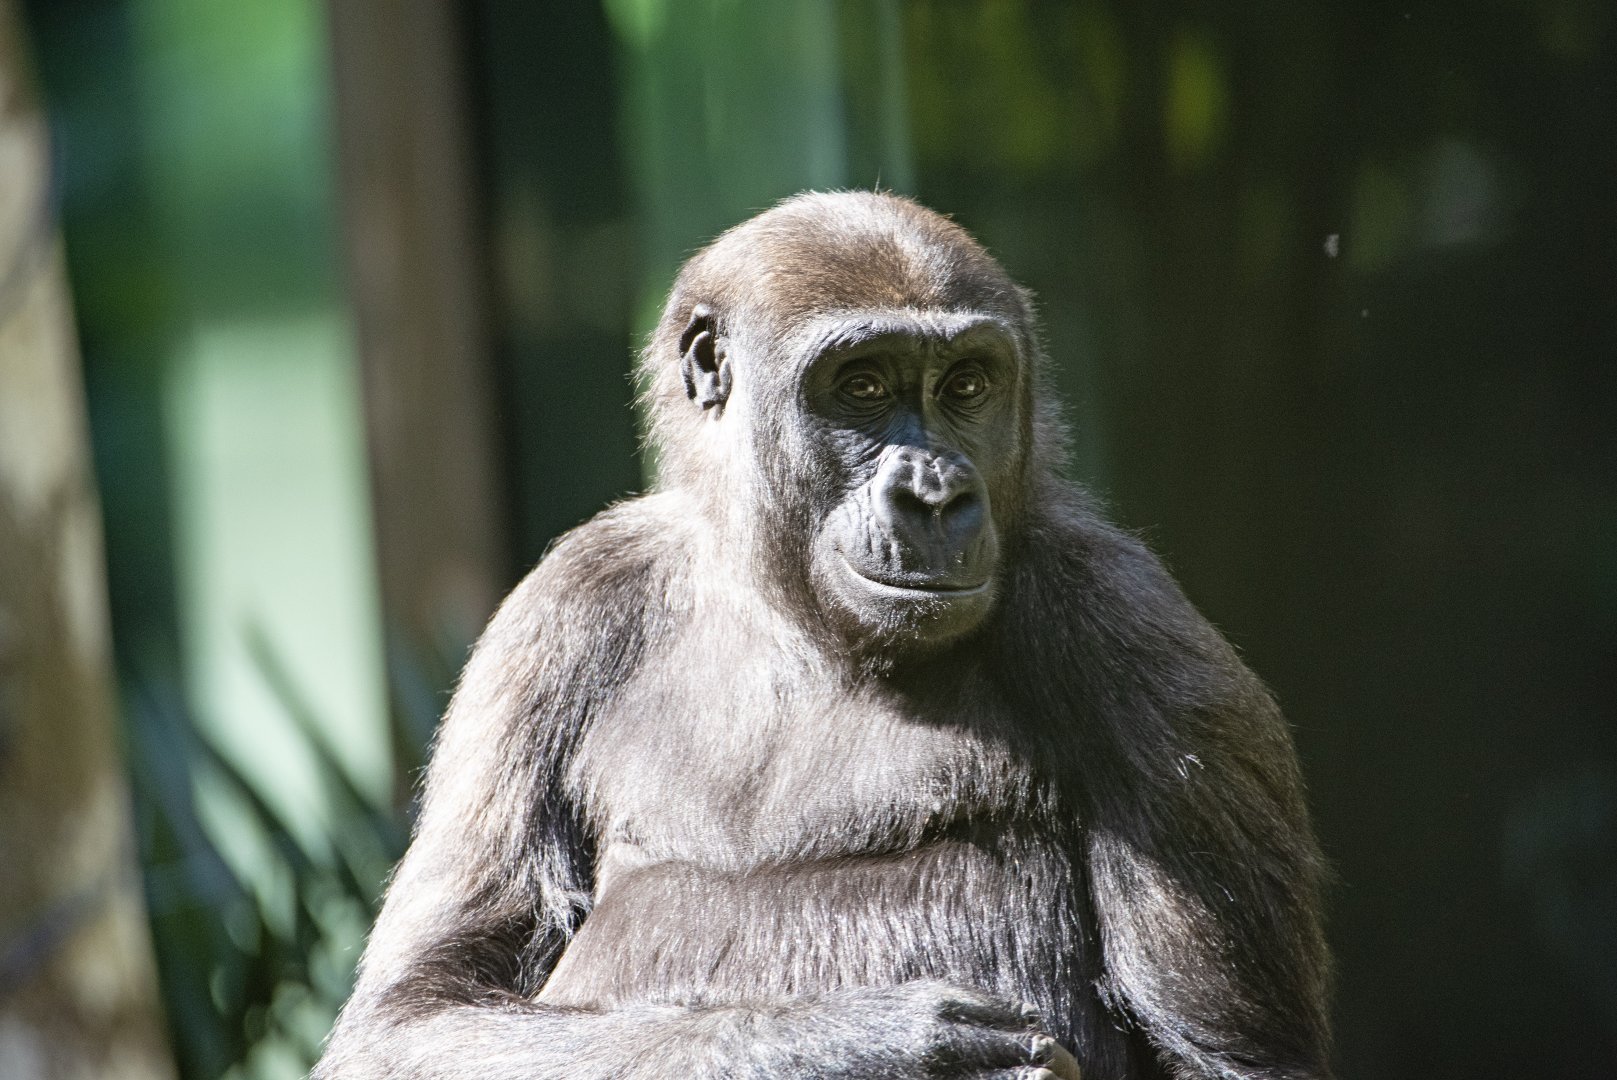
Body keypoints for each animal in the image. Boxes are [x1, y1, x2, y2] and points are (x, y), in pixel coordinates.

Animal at [315, 191, 1332, 1080]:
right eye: (864, 388)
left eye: (967, 385)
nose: (936, 493)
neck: (785, 607)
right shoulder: (558, 612)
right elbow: (416, 1014)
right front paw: (878, 1042)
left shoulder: (1130, 627)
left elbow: (1234, 1062)